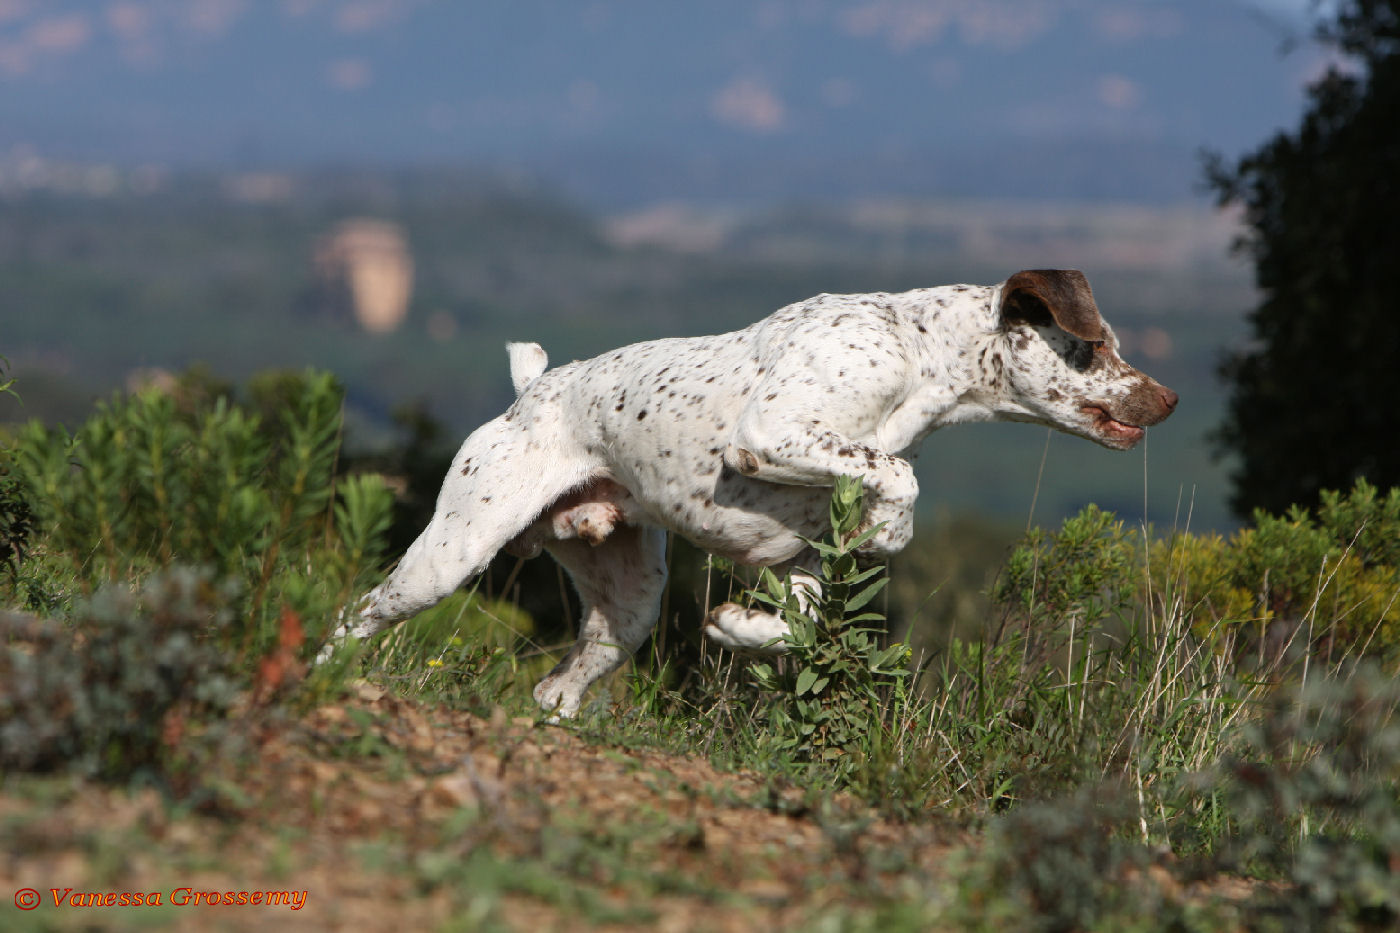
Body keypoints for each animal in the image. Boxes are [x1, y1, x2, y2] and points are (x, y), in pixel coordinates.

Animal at [322, 264, 1176, 714]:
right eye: (1096, 347)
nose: (1167, 399)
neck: (921, 357)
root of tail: (532, 391)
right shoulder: (769, 433)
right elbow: (897, 474)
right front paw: (888, 527)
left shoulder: (795, 561)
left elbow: (798, 625)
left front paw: (736, 627)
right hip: (451, 553)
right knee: (355, 615)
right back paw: (323, 671)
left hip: (628, 604)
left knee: (557, 689)